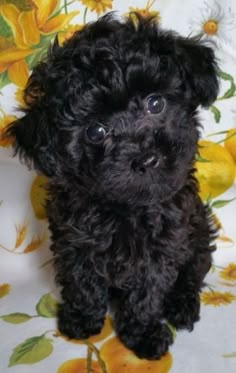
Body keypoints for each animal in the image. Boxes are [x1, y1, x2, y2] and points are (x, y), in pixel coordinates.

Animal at [6, 13, 219, 358]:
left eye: (155, 103)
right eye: (96, 131)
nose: (147, 158)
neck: (125, 209)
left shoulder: (162, 246)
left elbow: (147, 292)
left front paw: (143, 334)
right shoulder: (74, 239)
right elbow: (82, 280)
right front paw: (82, 318)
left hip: (198, 233)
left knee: (192, 273)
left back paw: (182, 306)